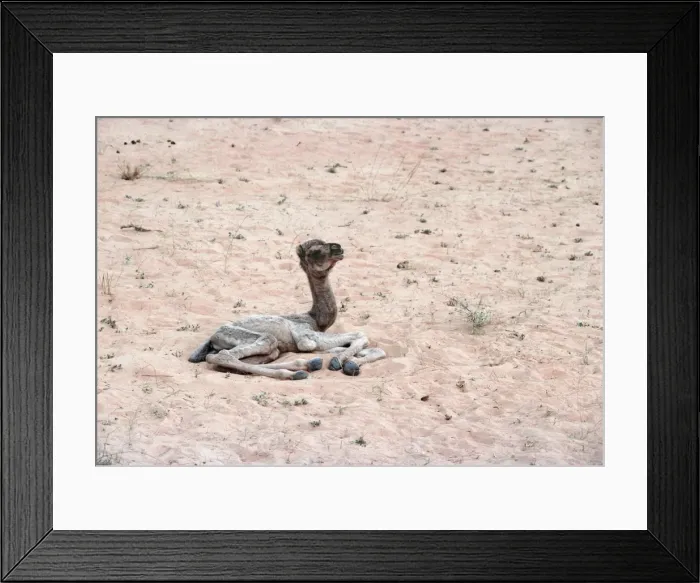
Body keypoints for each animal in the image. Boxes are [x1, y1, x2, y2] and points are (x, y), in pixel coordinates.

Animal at [188, 239, 386, 380]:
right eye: (315, 250)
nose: (338, 248)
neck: (315, 319)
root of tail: (212, 337)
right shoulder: (306, 337)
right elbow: (359, 334)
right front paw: (340, 363)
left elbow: (376, 350)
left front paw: (350, 362)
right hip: (255, 338)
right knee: (224, 356)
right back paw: (300, 371)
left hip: (268, 351)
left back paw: (308, 366)